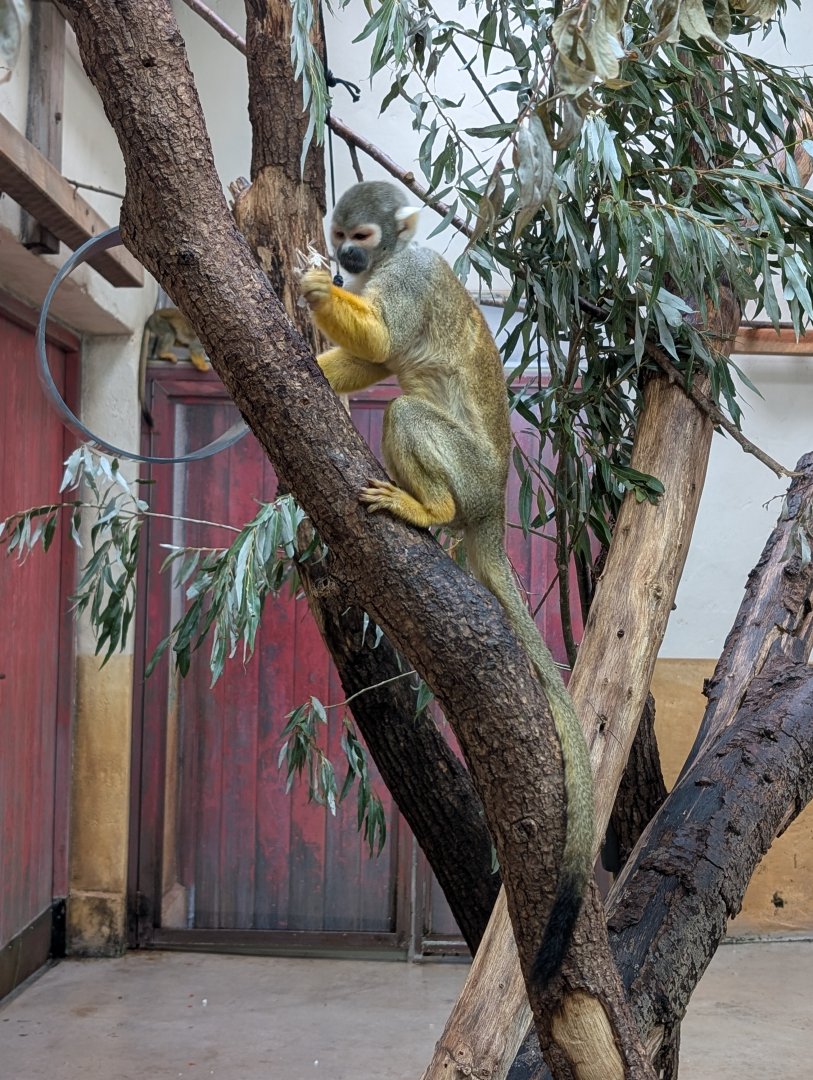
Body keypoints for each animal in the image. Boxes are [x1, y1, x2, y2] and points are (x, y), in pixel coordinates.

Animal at [298, 180, 594, 986]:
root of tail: (492, 512)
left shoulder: (409, 277)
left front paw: (312, 289)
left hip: (471, 474)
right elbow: (369, 363)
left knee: (406, 407)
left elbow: (382, 347)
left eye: (361, 237)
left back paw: (428, 509)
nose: (345, 260)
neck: (391, 258)